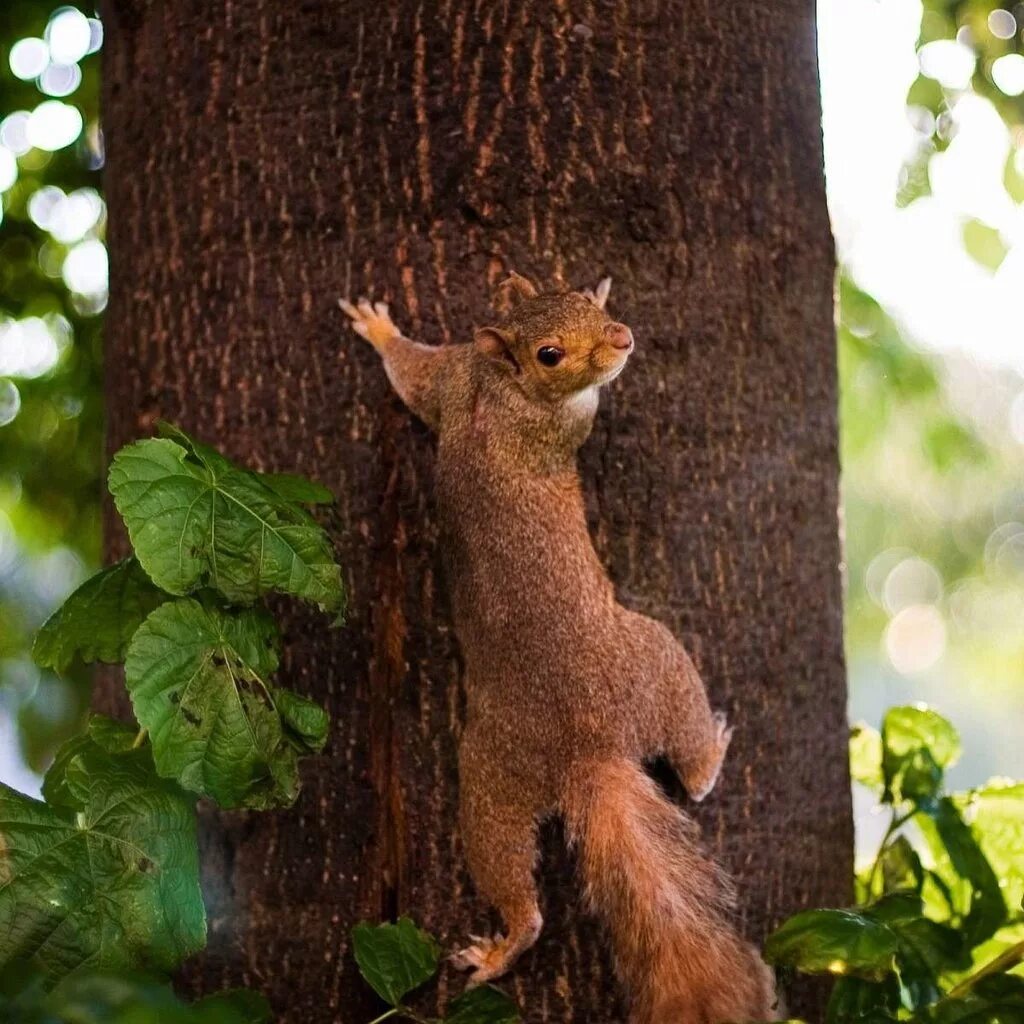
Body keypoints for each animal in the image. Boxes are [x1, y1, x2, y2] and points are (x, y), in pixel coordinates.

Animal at [342, 272, 774, 1024]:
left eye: (581, 301)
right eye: (551, 354)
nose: (622, 337)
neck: (501, 389)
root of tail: (587, 748)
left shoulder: (450, 379)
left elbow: (411, 373)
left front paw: (378, 330)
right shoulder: (559, 420)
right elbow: (589, 409)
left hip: (488, 794)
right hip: (653, 661)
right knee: (686, 776)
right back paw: (711, 749)